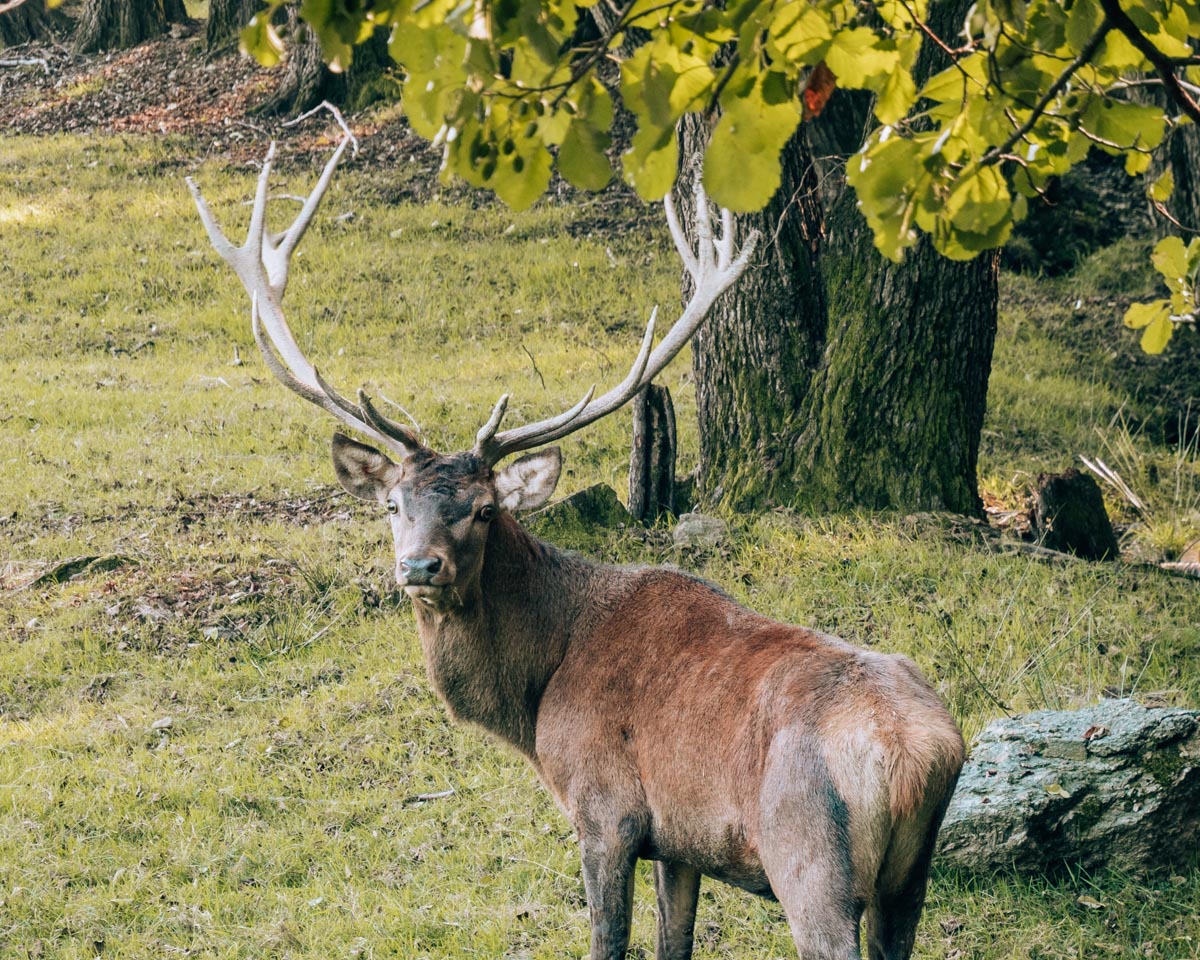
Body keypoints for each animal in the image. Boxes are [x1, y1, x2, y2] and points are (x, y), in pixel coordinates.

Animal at [187, 136, 965, 960]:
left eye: (485, 510)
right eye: (392, 504)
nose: (420, 566)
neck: (535, 696)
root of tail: (920, 757)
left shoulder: (605, 810)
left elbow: (608, 941)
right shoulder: (681, 843)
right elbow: (672, 943)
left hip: (812, 862)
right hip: (908, 881)